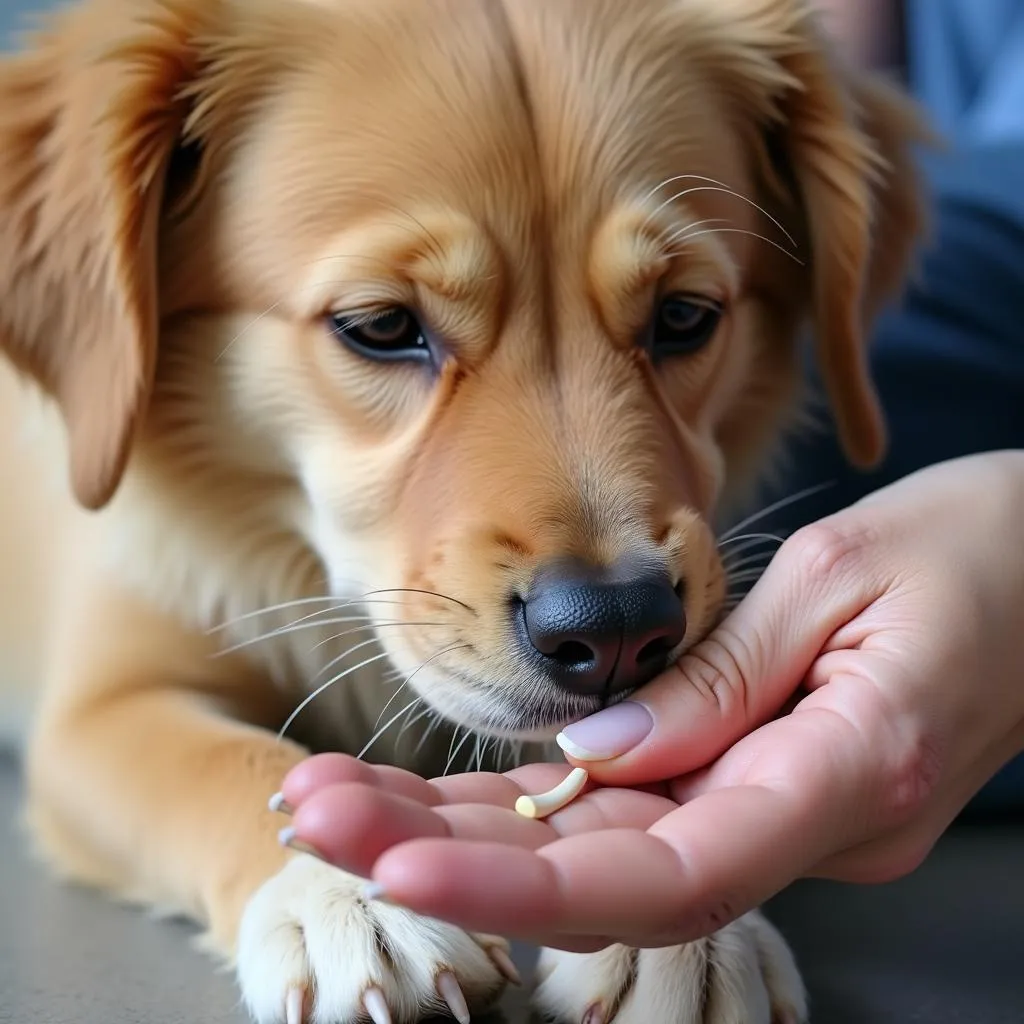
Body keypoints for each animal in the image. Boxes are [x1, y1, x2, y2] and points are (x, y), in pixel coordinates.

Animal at [0, 0, 929, 1019]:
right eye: (379, 326)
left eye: (686, 316)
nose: (616, 631)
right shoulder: (101, 708)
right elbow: (225, 765)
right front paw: (346, 892)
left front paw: (688, 935)